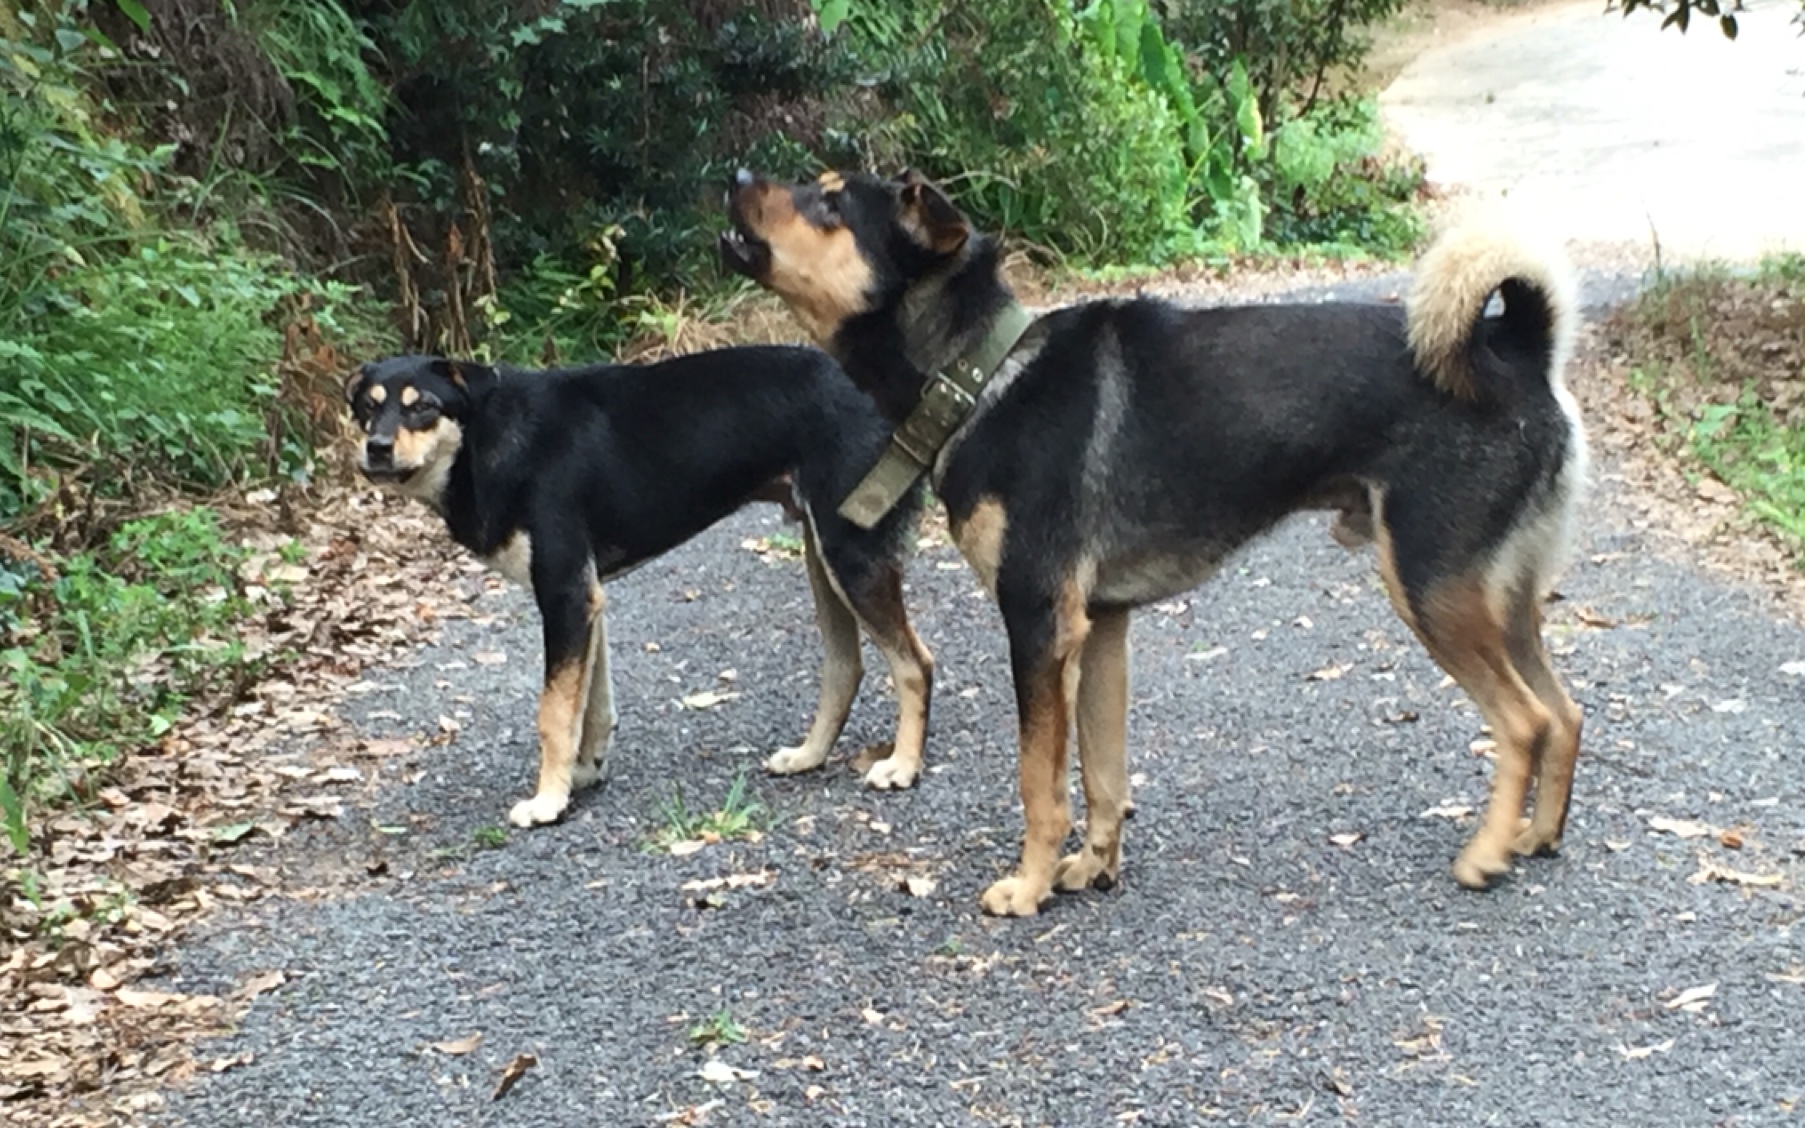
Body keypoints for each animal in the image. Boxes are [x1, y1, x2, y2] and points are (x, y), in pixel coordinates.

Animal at [341, 348, 931, 822]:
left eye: (423, 406)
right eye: (368, 407)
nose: (377, 448)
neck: (487, 440)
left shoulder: (564, 594)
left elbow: (554, 712)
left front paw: (547, 801)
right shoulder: (587, 598)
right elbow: (591, 705)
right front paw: (582, 774)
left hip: (850, 554)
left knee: (914, 664)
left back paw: (902, 766)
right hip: (823, 554)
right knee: (845, 667)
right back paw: (809, 756)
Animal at [725, 169, 1588, 916]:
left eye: (831, 203)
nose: (734, 176)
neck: (979, 374)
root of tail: (1517, 350)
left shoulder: (1036, 623)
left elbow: (1040, 781)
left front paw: (1028, 886)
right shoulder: (1102, 628)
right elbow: (1102, 777)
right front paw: (1090, 867)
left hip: (1431, 586)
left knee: (1524, 722)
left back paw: (1487, 853)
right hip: (1499, 596)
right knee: (1565, 712)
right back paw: (1538, 836)